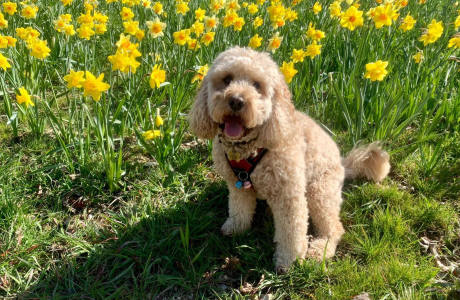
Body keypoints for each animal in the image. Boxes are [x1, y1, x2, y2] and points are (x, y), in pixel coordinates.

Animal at [189, 45, 390, 274]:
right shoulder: (237, 185)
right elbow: (240, 209)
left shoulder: (289, 195)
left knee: (334, 228)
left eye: (257, 85)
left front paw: (289, 261)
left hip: (319, 192)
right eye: (227, 79)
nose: (236, 101)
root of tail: (343, 164)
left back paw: (319, 250)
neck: (249, 148)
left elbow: (291, 231)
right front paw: (236, 228)